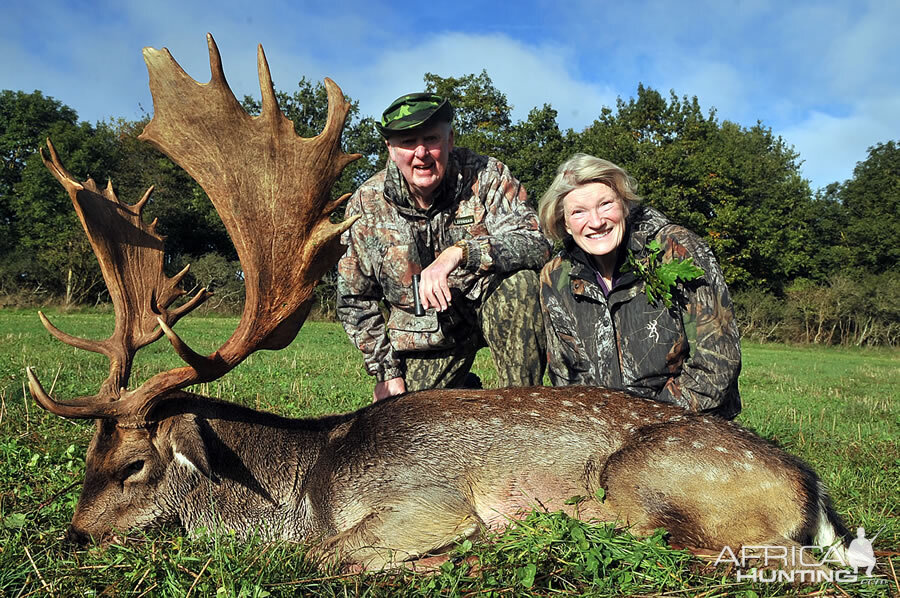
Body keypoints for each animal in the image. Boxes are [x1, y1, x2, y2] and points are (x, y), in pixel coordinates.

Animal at [24, 34, 848, 576]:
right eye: (88, 456)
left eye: (133, 464)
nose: (72, 538)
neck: (302, 488)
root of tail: (813, 491)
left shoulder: (424, 499)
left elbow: (328, 556)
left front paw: (463, 549)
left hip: (652, 476)